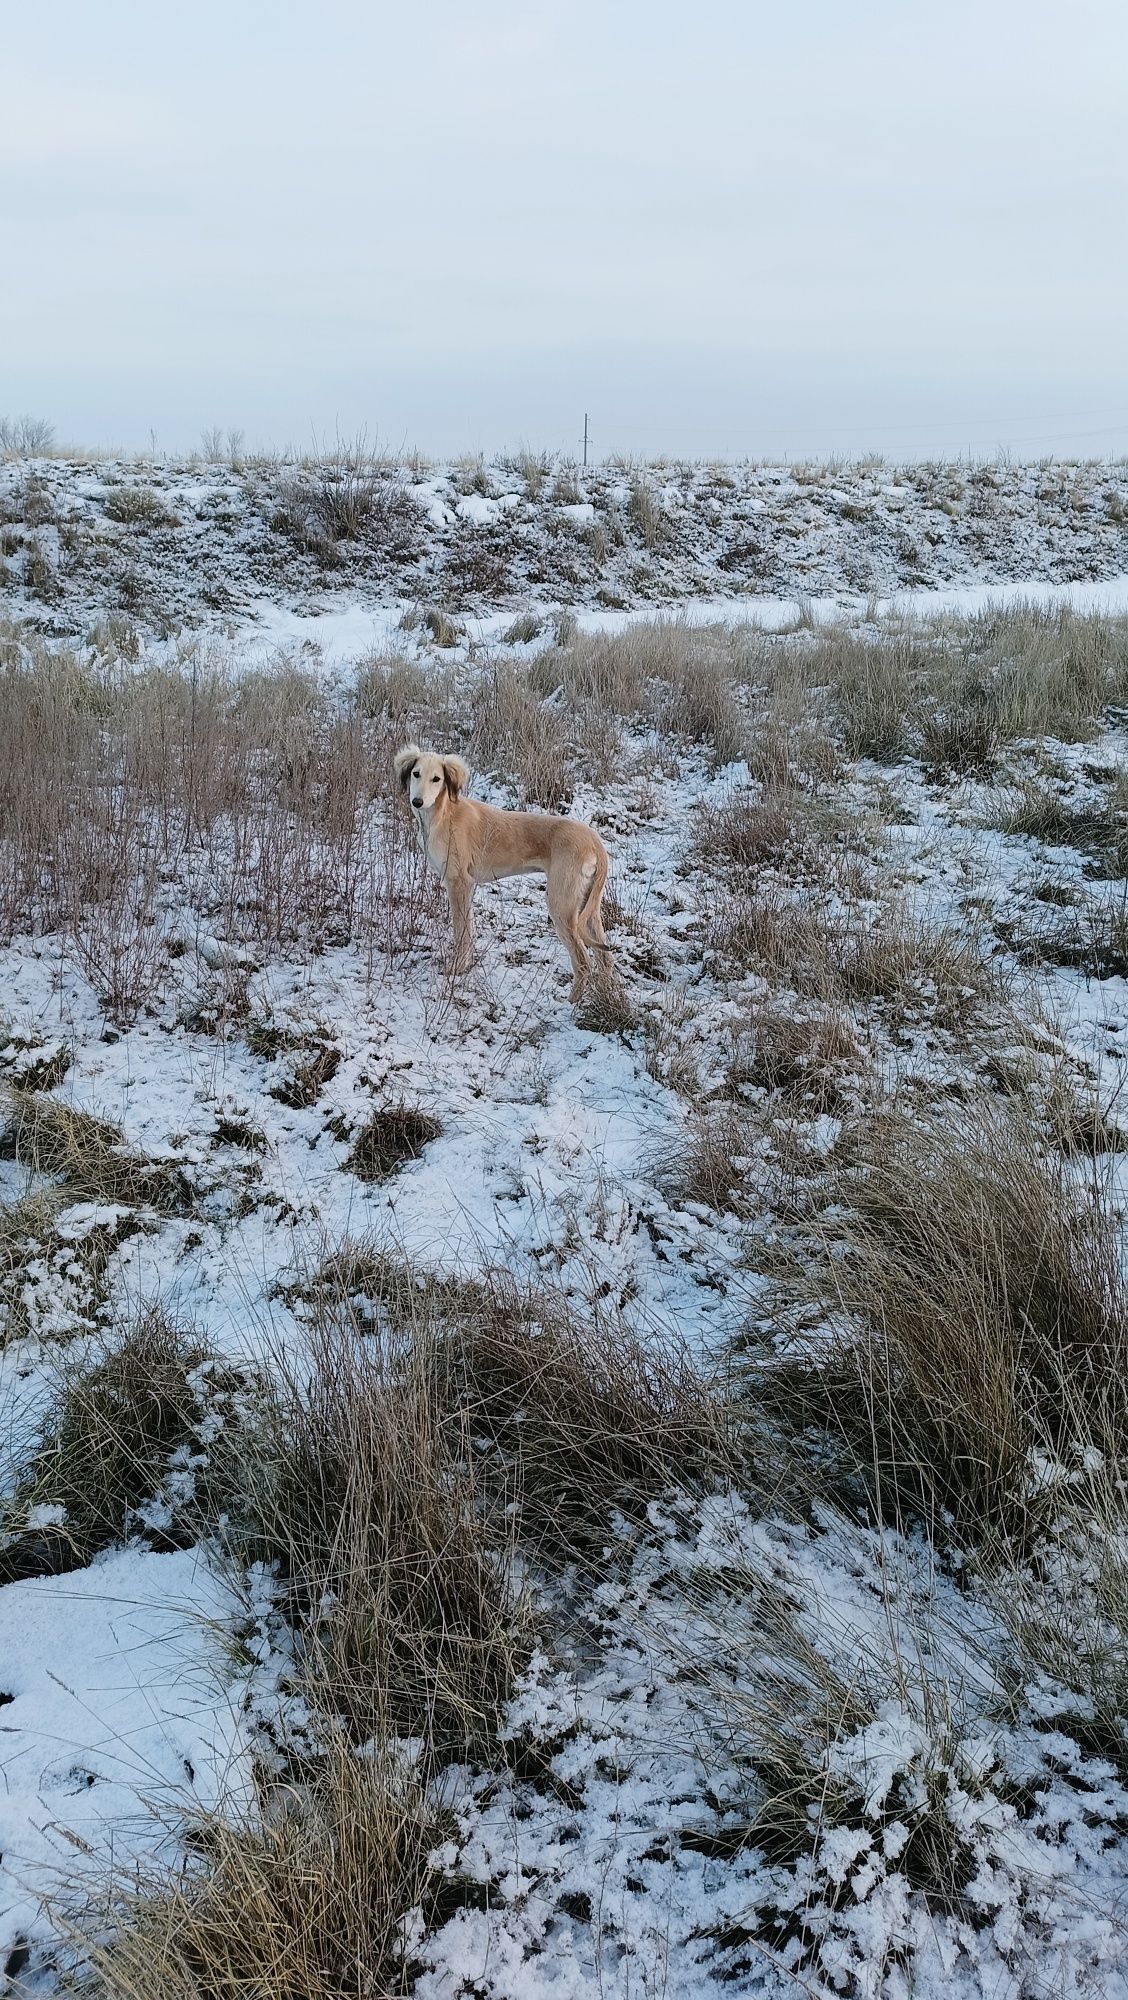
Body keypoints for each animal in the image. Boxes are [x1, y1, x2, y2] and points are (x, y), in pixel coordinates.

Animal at [394, 744, 612, 1000]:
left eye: (436, 779)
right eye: (416, 774)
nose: (417, 801)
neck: (443, 814)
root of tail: (594, 841)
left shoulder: (458, 882)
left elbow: (460, 931)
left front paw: (456, 969)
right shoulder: (466, 886)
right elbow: (469, 929)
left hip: (562, 906)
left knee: (583, 962)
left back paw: (571, 1004)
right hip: (588, 908)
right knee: (606, 958)